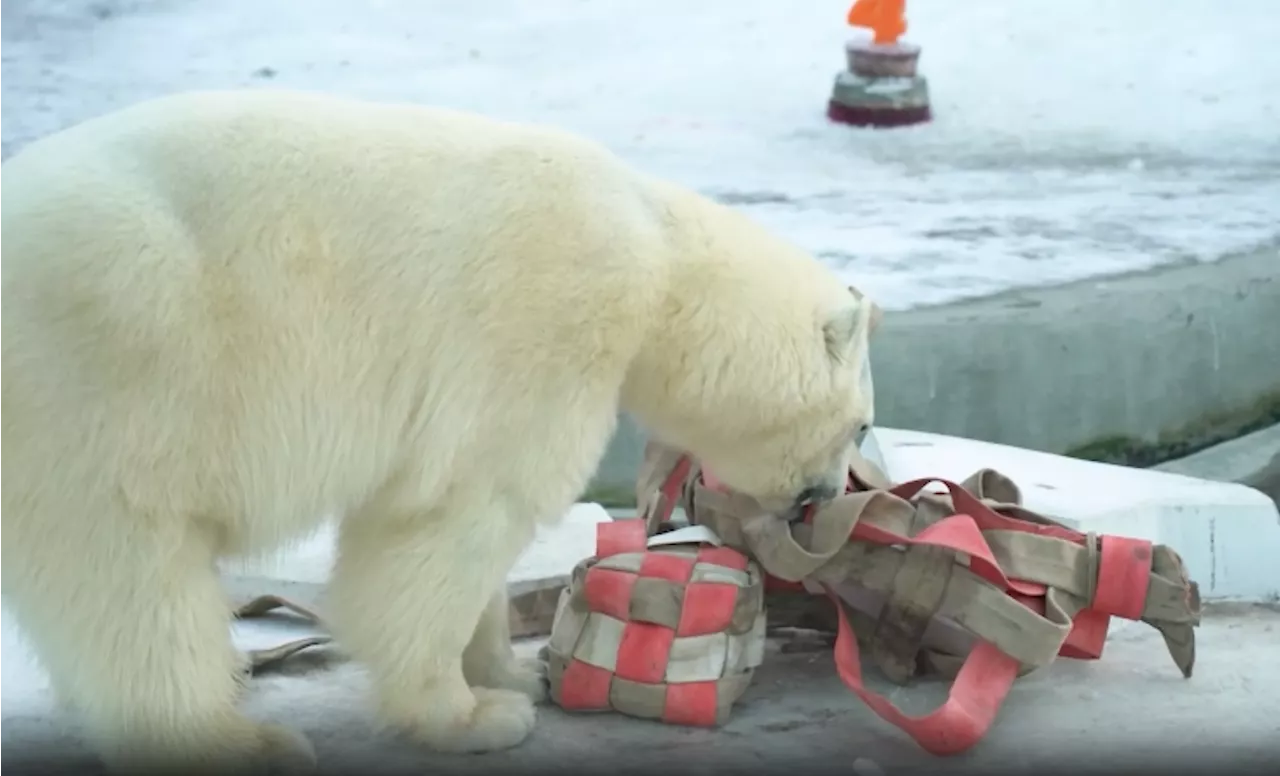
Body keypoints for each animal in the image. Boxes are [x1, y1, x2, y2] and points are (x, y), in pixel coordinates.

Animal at [0, 89, 875, 773]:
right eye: (860, 426)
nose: (818, 499)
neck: (655, 247)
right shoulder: (543, 322)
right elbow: (451, 520)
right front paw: (471, 716)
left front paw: (511, 676)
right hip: (115, 360)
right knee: (129, 566)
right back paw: (236, 743)